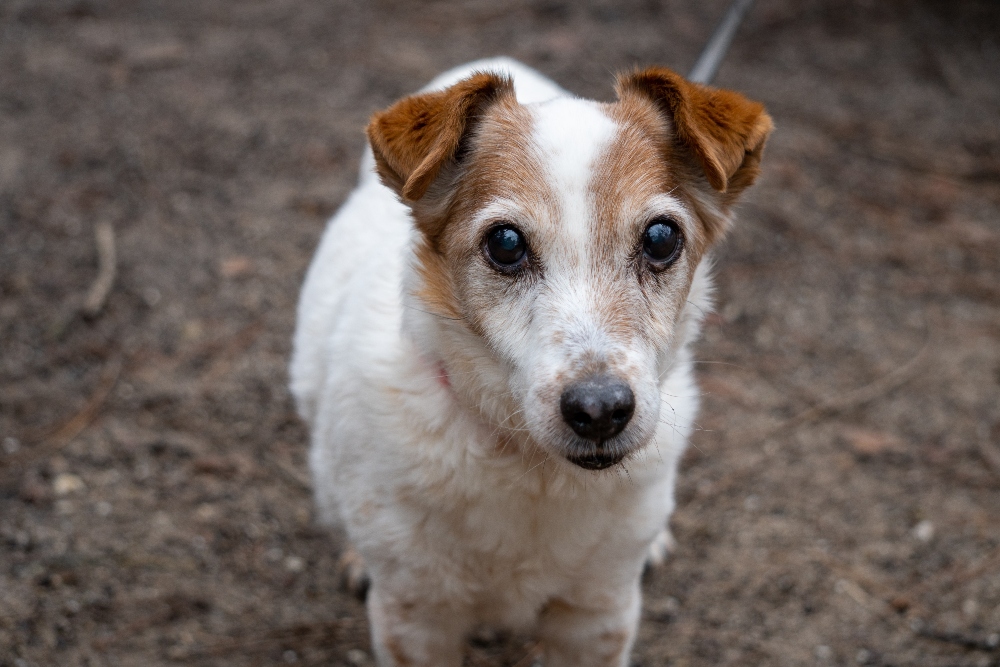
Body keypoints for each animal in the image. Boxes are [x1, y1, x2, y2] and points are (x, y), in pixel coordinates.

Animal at [290, 58, 772, 667]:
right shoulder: (416, 618)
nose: (600, 410)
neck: (534, 470)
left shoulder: (598, 614)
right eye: (505, 244)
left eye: (662, 238)